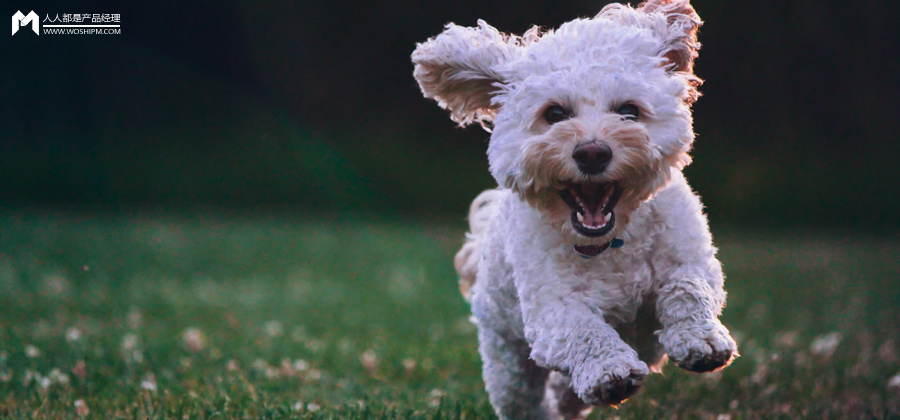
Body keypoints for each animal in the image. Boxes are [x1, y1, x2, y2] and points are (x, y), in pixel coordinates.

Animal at [414, 1, 740, 418]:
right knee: (524, 397)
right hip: (506, 356)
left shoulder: (690, 257)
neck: (610, 242)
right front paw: (609, 371)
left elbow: (688, 289)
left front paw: (701, 340)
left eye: (629, 110)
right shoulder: (551, 309)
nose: (592, 152)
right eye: (555, 114)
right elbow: (583, 330)